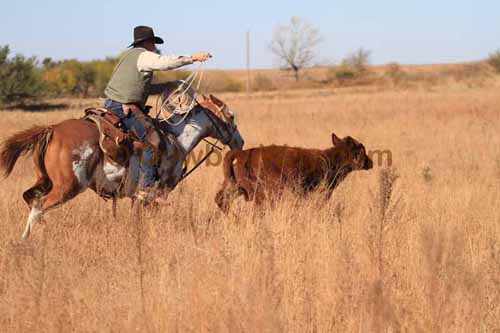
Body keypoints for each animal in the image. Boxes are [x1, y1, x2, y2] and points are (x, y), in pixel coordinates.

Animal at [0, 102, 244, 239]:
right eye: (231, 116)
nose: (240, 141)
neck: (175, 139)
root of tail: (52, 129)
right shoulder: (153, 194)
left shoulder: (138, 196)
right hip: (67, 187)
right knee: (38, 206)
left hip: (45, 180)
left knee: (30, 198)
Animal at [213, 132, 374, 211]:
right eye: (361, 149)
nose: (370, 162)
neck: (331, 158)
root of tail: (241, 153)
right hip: (263, 194)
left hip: (233, 187)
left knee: (221, 200)